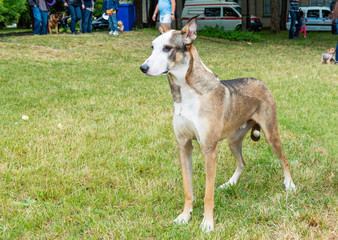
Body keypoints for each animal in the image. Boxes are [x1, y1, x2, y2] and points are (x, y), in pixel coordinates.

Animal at [140, 17, 296, 232]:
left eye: (167, 48)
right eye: (152, 47)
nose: (143, 68)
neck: (187, 92)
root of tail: (261, 82)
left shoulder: (209, 150)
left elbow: (208, 193)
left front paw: (207, 223)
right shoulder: (183, 145)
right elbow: (188, 189)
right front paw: (185, 216)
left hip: (271, 134)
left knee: (284, 159)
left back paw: (289, 185)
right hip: (233, 140)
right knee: (242, 163)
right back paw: (230, 184)